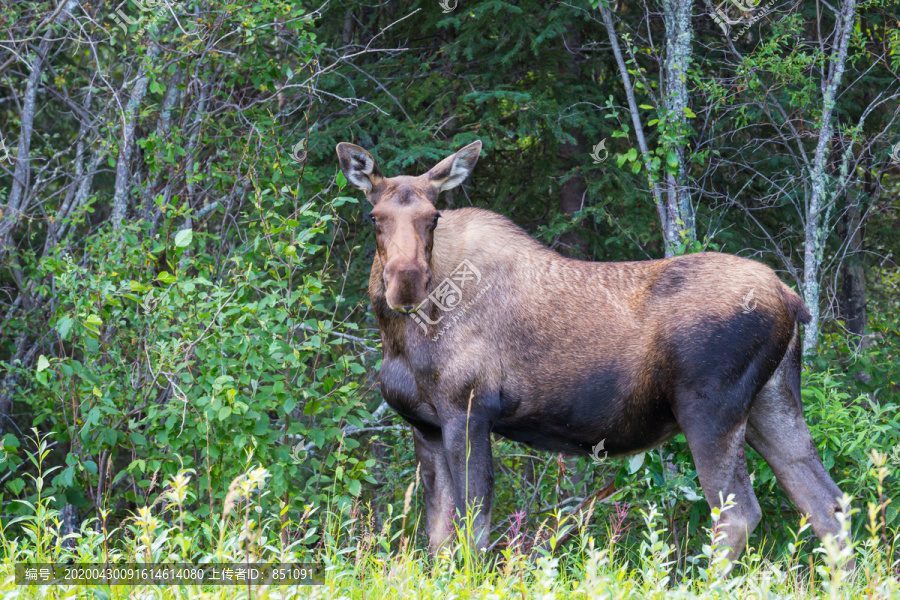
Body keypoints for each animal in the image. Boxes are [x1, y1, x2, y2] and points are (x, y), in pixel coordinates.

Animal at [336, 139, 852, 568]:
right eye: (374, 217)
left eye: (434, 217)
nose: (406, 281)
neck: (401, 337)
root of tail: (792, 300)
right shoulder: (423, 424)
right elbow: (440, 537)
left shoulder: (468, 410)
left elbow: (474, 531)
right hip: (771, 400)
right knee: (827, 505)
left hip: (710, 409)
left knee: (738, 514)